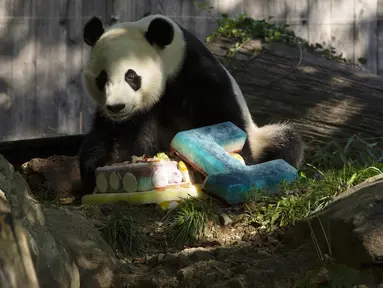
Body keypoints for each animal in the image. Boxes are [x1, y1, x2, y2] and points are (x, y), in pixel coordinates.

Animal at [79, 13, 304, 196]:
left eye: (131, 76)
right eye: (102, 78)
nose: (116, 107)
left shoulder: (199, 74)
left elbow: (222, 119)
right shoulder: (129, 115)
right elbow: (111, 134)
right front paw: (98, 166)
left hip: (262, 138)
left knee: (287, 144)